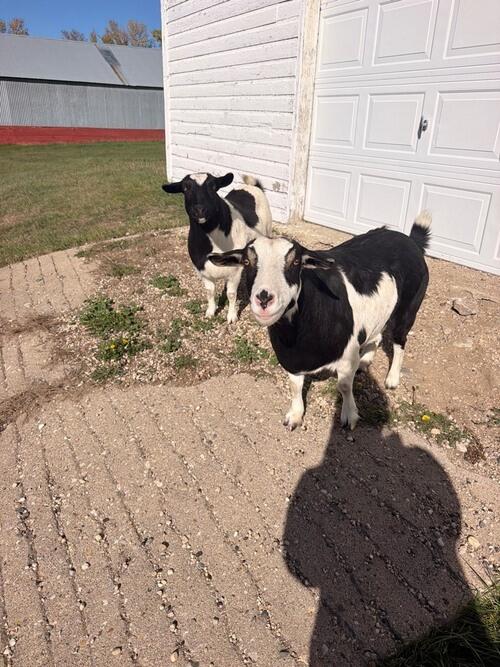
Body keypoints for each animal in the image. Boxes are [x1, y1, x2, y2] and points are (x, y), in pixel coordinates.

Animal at [162, 172, 272, 323]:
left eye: (213, 186)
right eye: (185, 188)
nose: (200, 209)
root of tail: (252, 186)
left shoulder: (234, 271)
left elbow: (231, 294)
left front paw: (231, 316)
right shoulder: (201, 268)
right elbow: (210, 292)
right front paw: (210, 311)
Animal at [209, 212, 431, 430]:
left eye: (296, 262)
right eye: (247, 262)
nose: (264, 298)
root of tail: (409, 240)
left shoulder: (347, 353)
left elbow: (344, 385)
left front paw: (349, 415)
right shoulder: (291, 359)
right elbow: (294, 386)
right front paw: (295, 415)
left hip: (408, 308)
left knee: (400, 340)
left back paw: (392, 379)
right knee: (376, 336)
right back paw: (365, 362)